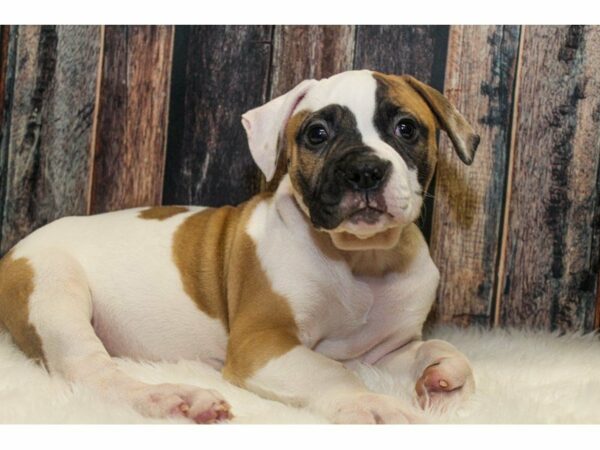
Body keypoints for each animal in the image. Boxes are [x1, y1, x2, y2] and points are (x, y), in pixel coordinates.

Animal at [0, 70, 479, 424]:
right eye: (317, 133)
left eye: (406, 128)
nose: (364, 171)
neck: (361, 260)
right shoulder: (261, 343)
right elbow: (330, 371)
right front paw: (373, 405)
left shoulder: (383, 352)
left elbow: (441, 349)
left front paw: (443, 380)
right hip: (55, 294)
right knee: (95, 376)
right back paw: (175, 400)